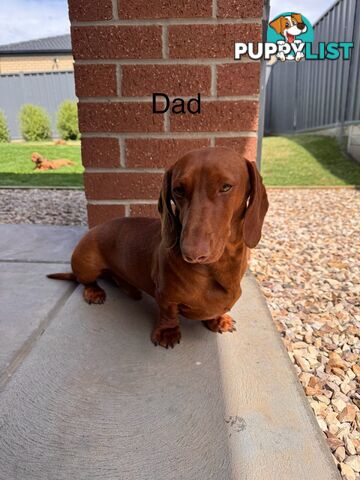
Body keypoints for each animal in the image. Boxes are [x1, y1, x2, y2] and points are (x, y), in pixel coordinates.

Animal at [47, 147, 268, 348]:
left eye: (226, 186)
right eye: (178, 190)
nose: (192, 254)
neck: (218, 267)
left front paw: (218, 319)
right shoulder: (165, 295)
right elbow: (168, 312)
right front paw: (167, 333)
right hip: (87, 264)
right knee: (85, 281)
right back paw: (94, 292)